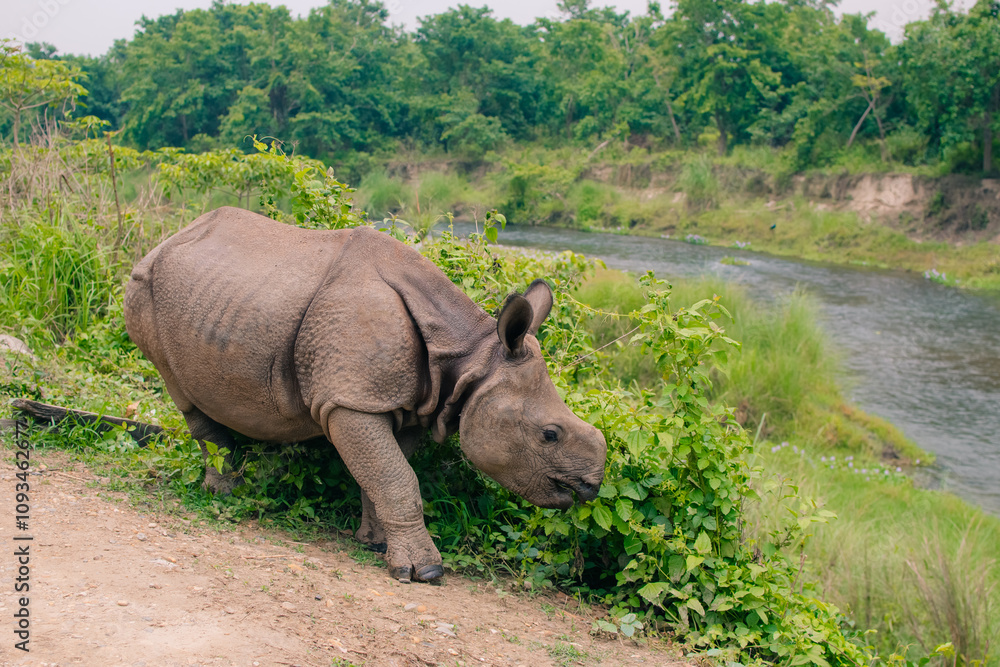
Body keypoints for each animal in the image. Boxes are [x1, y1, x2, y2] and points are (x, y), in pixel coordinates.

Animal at [124, 207, 607, 582]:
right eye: (549, 434)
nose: (590, 487)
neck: (470, 357)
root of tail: (171, 236)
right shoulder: (349, 401)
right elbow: (399, 478)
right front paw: (425, 571)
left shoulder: (407, 404)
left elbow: (386, 473)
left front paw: (376, 545)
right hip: (143, 285)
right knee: (183, 394)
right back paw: (225, 495)